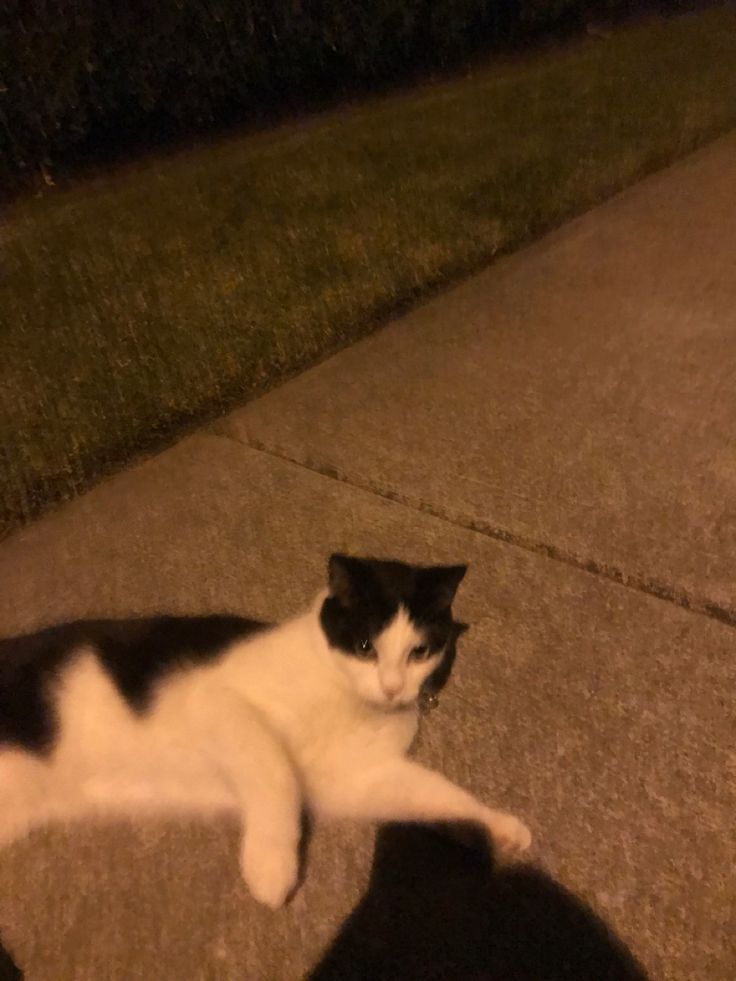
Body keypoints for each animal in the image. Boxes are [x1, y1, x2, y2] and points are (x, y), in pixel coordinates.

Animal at [0, 556, 528, 908]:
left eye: (419, 652)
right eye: (364, 647)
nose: (393, 687)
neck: (345, 695)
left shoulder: (357, 778)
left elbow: (437, 795)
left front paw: (496, 828)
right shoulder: (221, 704)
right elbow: (277, 772)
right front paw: (272, 866)